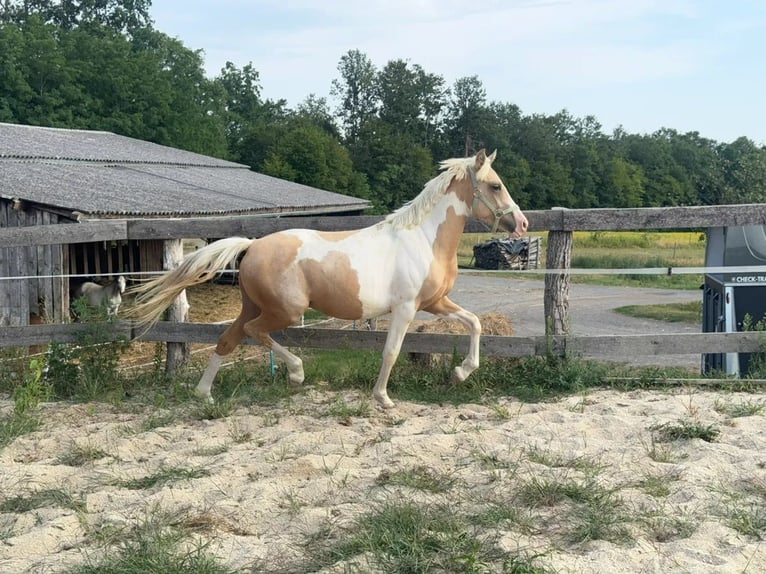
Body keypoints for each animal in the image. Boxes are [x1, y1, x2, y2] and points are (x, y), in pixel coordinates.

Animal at [126, 149, 528, 408]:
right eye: (495, 185)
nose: (522, 223)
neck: (423, 238)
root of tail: (252, 245)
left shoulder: (435, 302)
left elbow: (474, 323)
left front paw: (461, 373)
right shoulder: (406, 308)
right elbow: (391, 350)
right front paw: (383, 398)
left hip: (252, 306)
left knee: (228, 340)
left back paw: (204, 394)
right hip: (285, 311)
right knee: (255, 333)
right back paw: (296, 374)